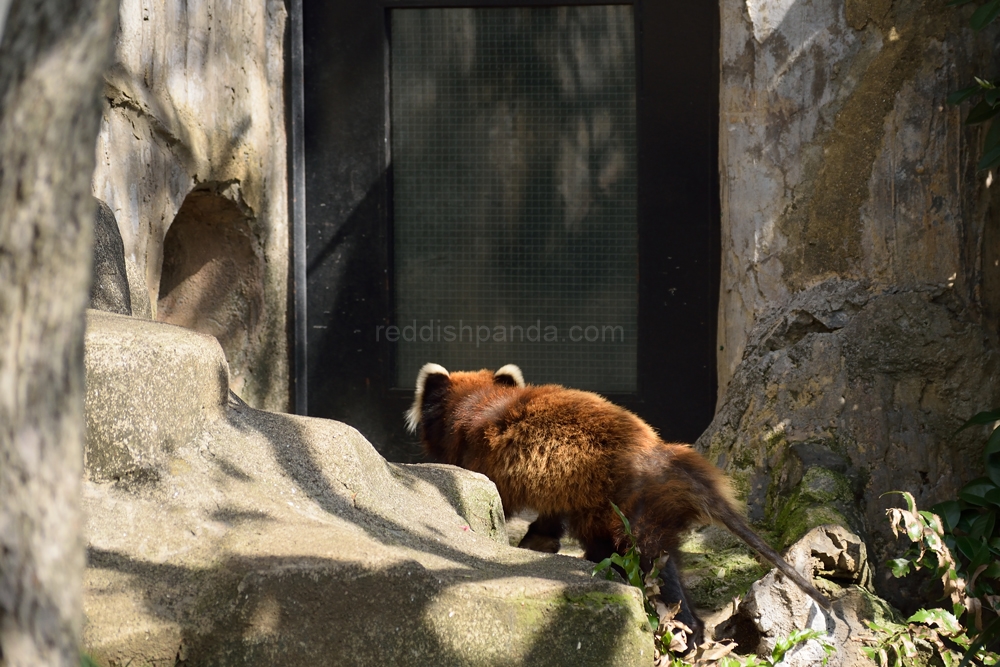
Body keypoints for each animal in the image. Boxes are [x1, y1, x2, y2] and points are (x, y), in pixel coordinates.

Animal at [404, 362, 828, 636]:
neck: (478, 402)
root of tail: (665, 455)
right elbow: (549, 515)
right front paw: (539, 539)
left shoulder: (484, 460)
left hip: (628, 510)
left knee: (648, 562)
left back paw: (683, 628)